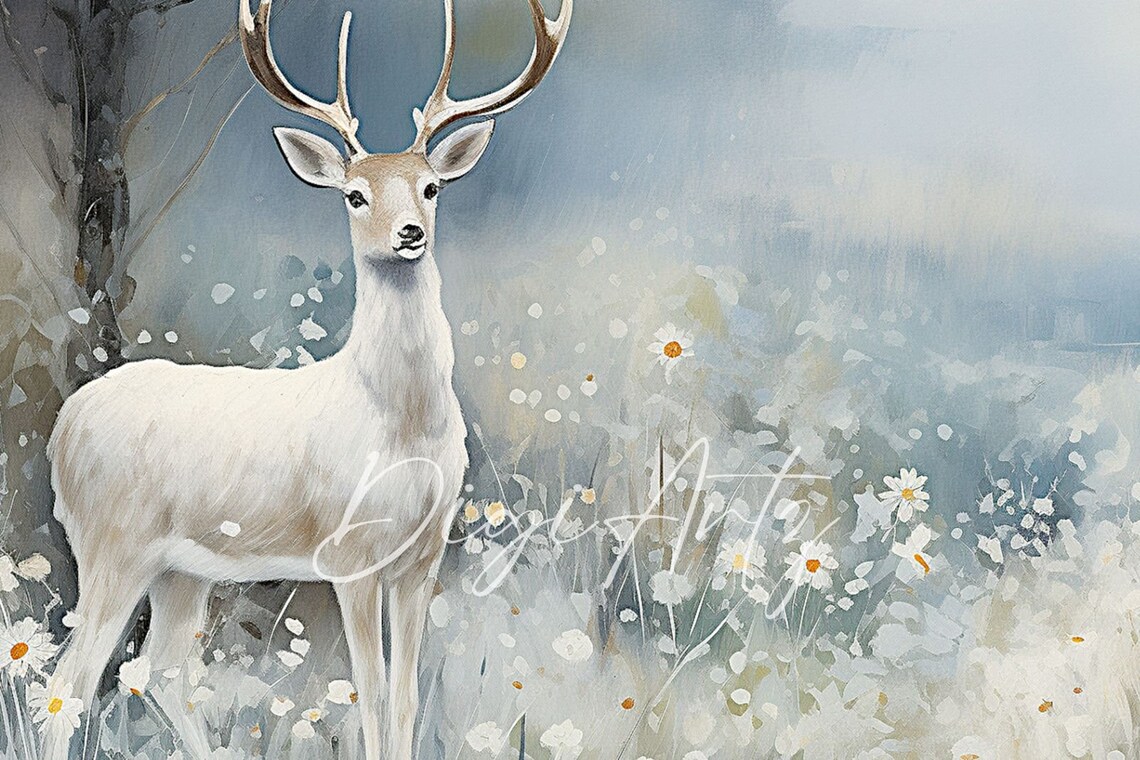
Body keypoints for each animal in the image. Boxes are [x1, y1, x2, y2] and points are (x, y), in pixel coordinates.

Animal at [43, 0, 571, 757]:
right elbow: (371, 697)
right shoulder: (350, 555)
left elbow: (406, 699)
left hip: (183, 568)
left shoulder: (423, 557)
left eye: (431, 186)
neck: (400, 425)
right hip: (113, 541)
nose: (409, 232)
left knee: (161, 670)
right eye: (354, 195)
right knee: (69, 685)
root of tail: (63, 427)